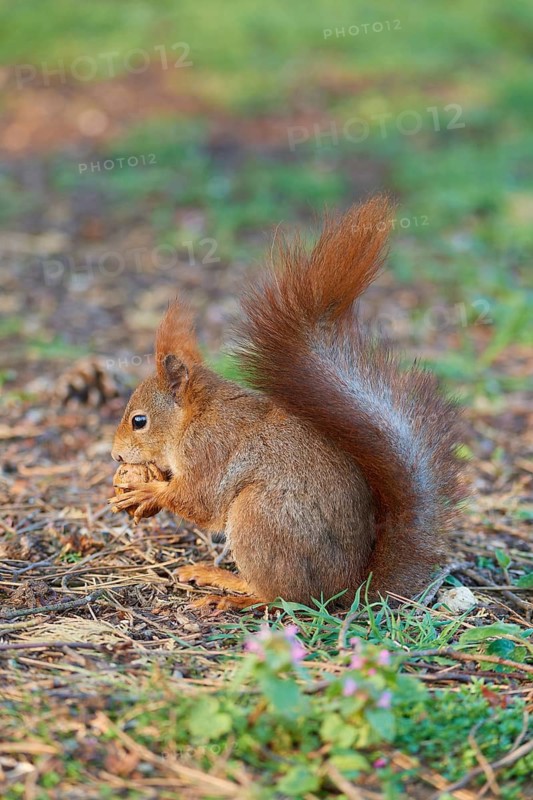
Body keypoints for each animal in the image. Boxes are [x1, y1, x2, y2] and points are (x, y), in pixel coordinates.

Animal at [110, 195, 466, 611]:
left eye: (139, 421)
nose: (116, 455)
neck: (194, 416)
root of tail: (346, 588)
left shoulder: (209, 449)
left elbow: (200, 500)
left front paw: (149, 492)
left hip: (258, 518)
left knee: (279, 597)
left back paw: (229, 591)